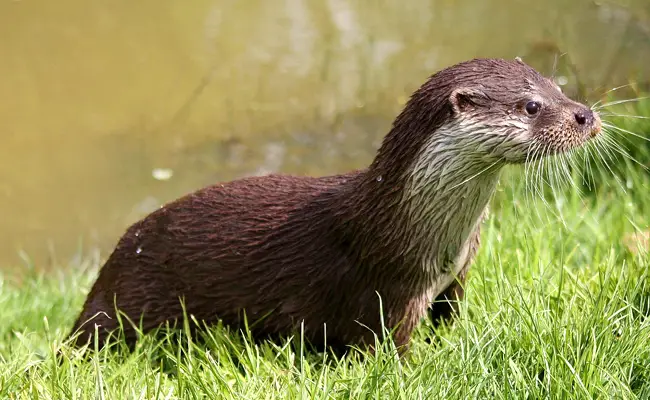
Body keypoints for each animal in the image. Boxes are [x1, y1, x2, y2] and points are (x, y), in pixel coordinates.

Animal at [66, 57, 596, 354]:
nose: (586, 116)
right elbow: (389, 350)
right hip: (128, 301)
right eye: (531, 106)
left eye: (558, 86)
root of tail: (108, 269)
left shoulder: (457, 277)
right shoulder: (389, 293)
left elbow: (451, 318)